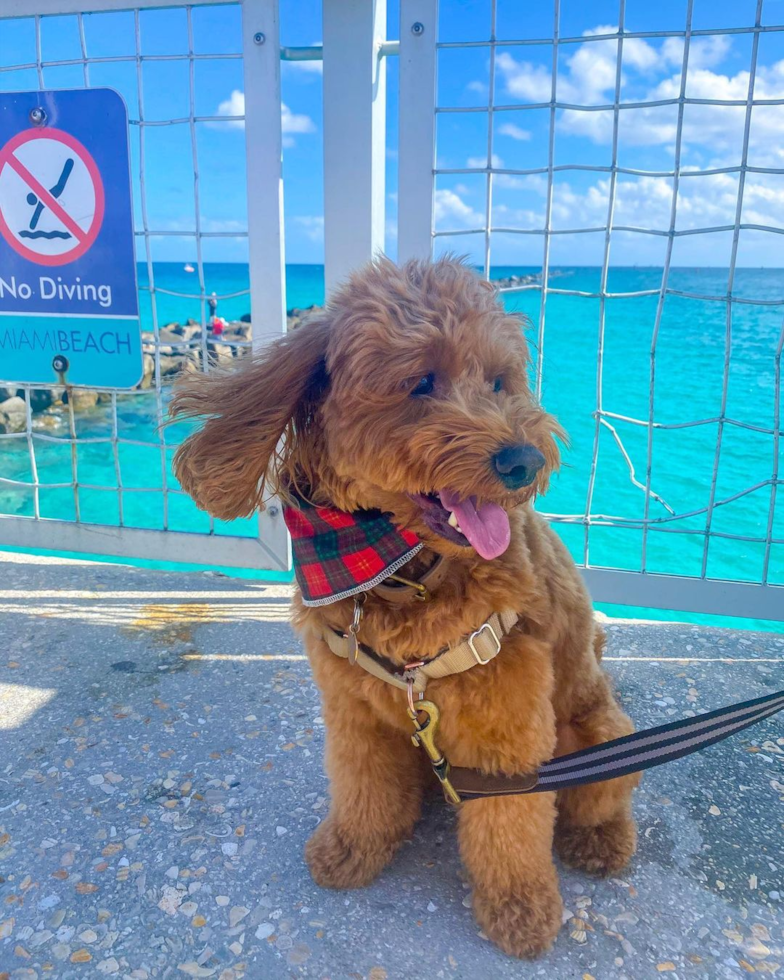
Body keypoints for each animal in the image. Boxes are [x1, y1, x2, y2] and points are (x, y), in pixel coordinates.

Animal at [172, 258, 636, 956]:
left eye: (499, 381)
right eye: (420, 382)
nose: (524, 461)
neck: (398, 571)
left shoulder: (507, 734)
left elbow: (511, 830)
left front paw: (521, 910)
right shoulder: (355, 716)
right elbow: (364, 787)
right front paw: (352, 850)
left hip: (599, 735)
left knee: (609, 793)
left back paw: (602, 842)